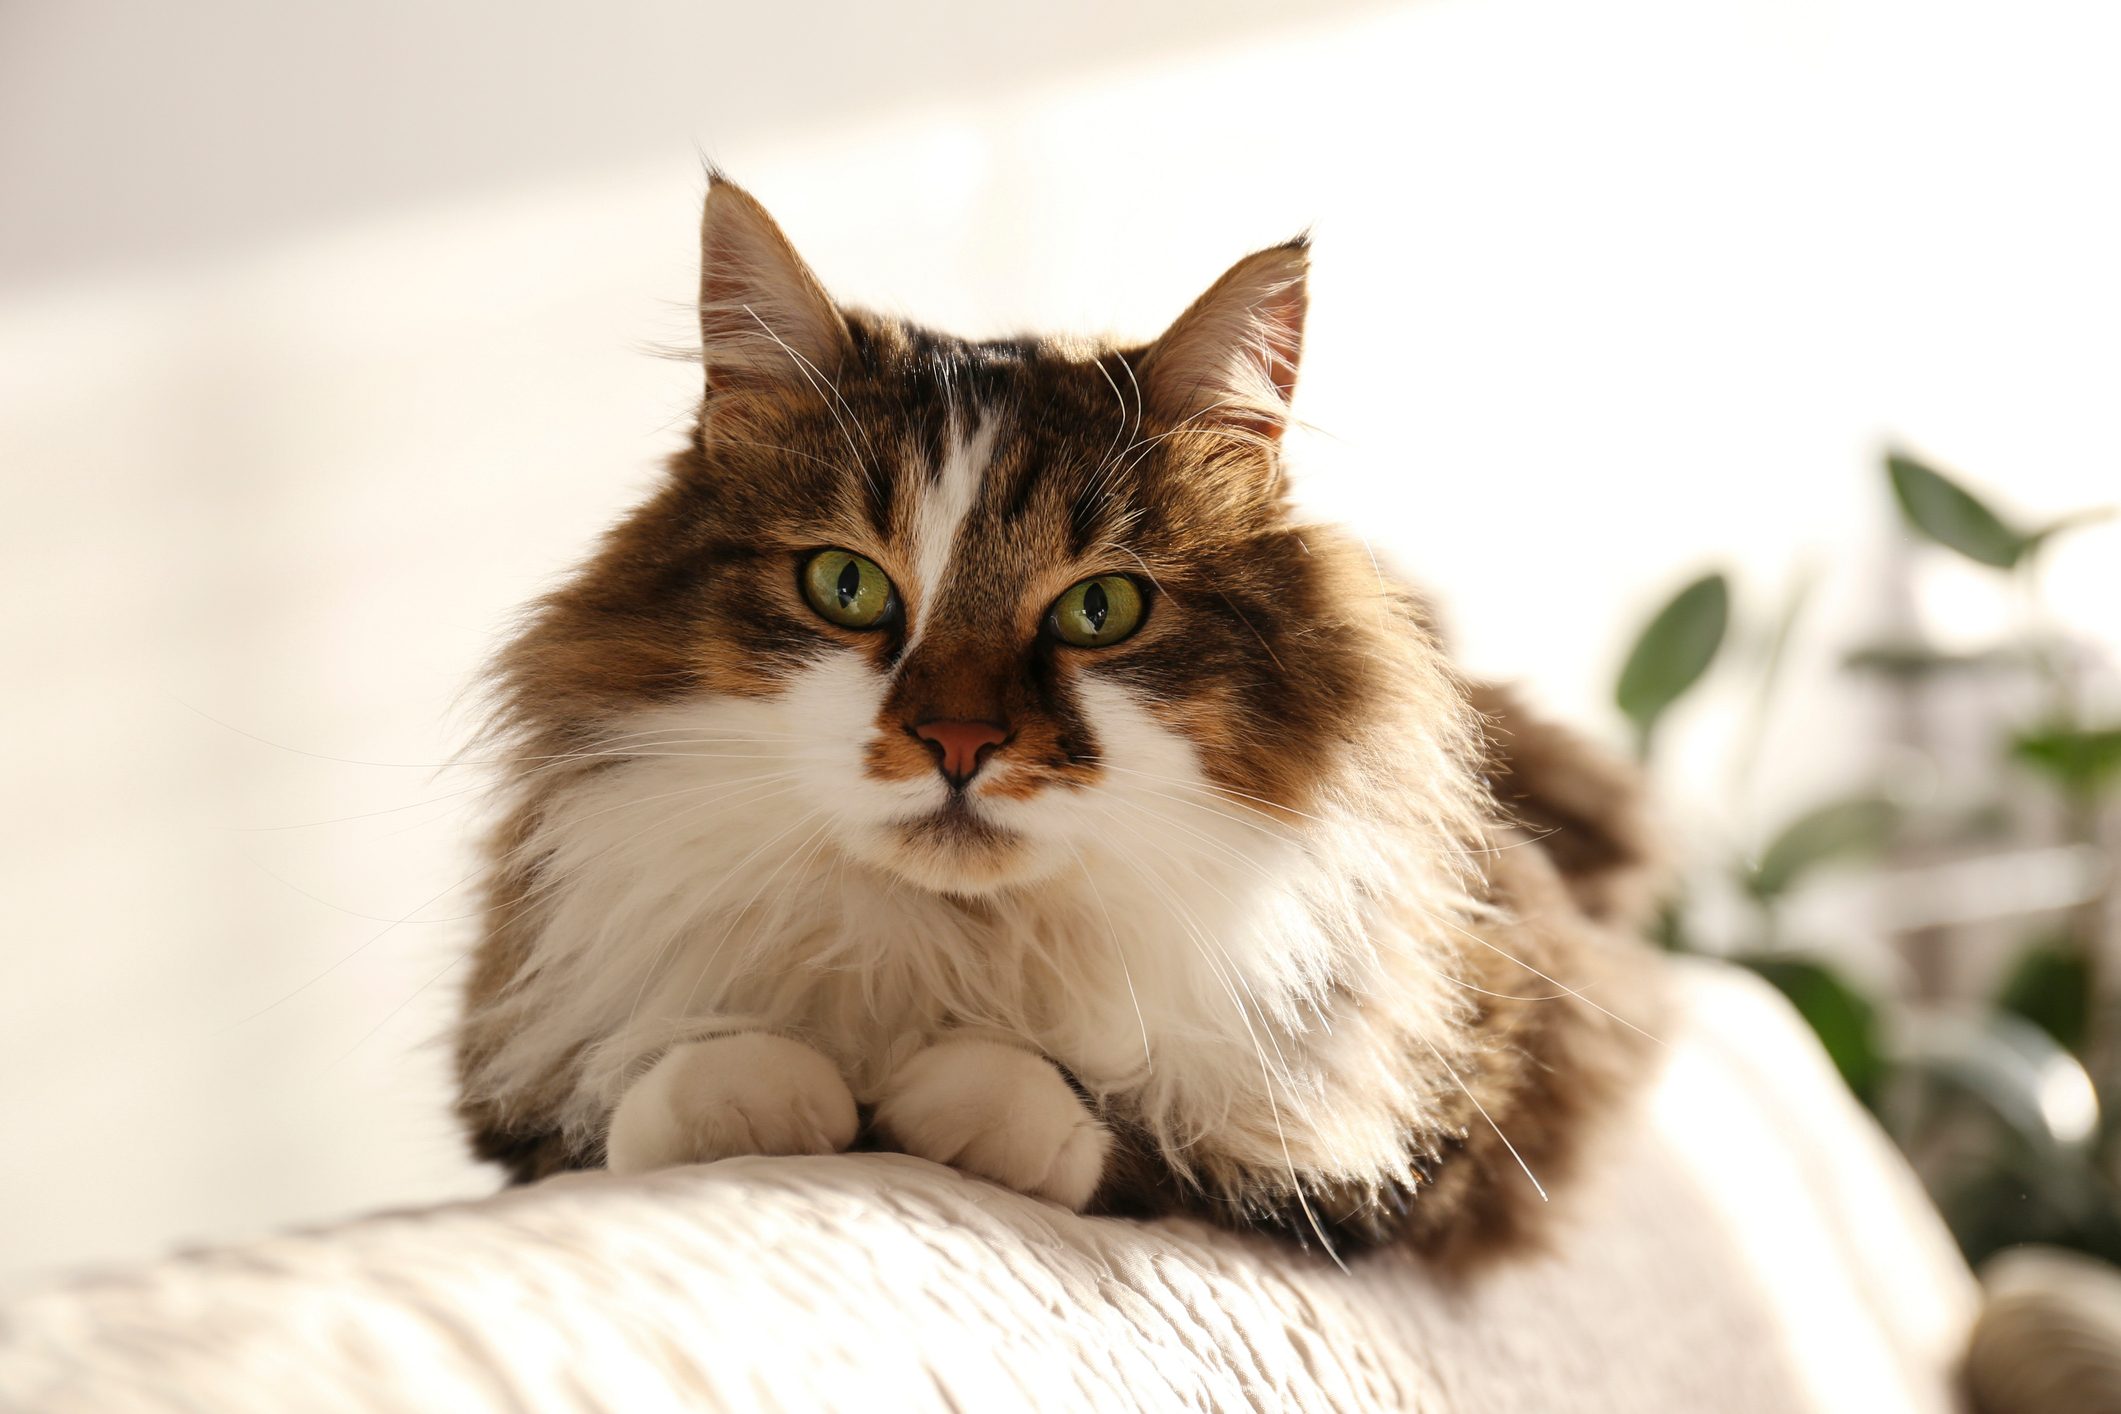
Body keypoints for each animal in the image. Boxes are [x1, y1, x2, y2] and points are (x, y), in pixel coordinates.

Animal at [456, 171, 1662, 1263]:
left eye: (1100, 609)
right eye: (845, 585)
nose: (957, 743)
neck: (949, 946)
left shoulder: (1445, 1102)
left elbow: (1140, 1134)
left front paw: (940, 1101)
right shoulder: (523, 1066)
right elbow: (650, 1092)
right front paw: (758, 1096)